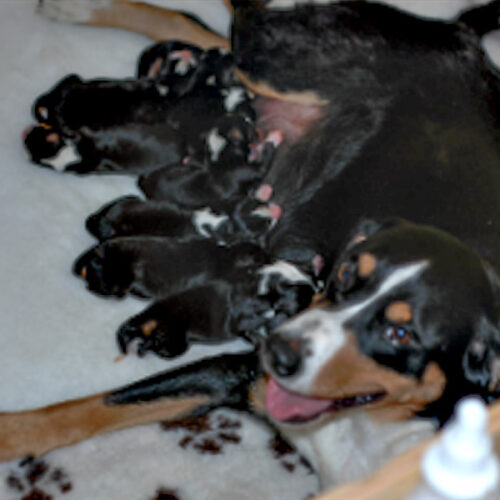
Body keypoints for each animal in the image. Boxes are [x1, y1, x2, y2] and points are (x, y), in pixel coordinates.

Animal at [3, 0, 500, 491]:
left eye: (401, 334)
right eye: (343, 275)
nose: (277, 349)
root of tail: (462, 37)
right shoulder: (233, 371)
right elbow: (81, 409)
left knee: (212, 41)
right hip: (274, 56)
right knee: (221, 25)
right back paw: (78, 9)